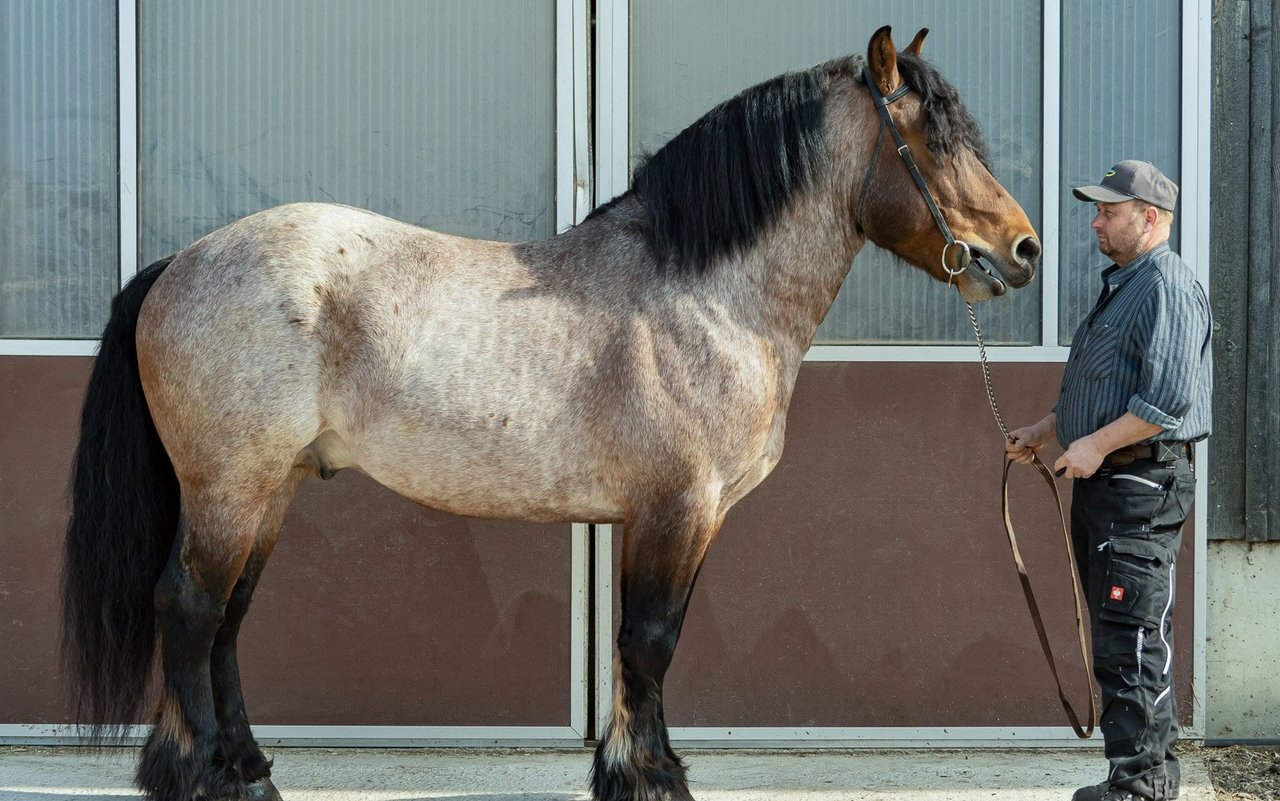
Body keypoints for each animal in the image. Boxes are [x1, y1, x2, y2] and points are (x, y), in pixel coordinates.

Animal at [62, 28, 1039, 798]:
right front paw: (652, 778)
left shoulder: (684, 516)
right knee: (191, 608)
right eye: (933, 139)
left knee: (226, 619)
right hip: (230, 487)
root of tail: (181, 261)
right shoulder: (675, 508)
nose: (1022, 249)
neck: (702, 294)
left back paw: (246, 769)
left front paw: (632, 769)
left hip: (270, 488)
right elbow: (649, 641)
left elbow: (645, 642)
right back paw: (202, 776)